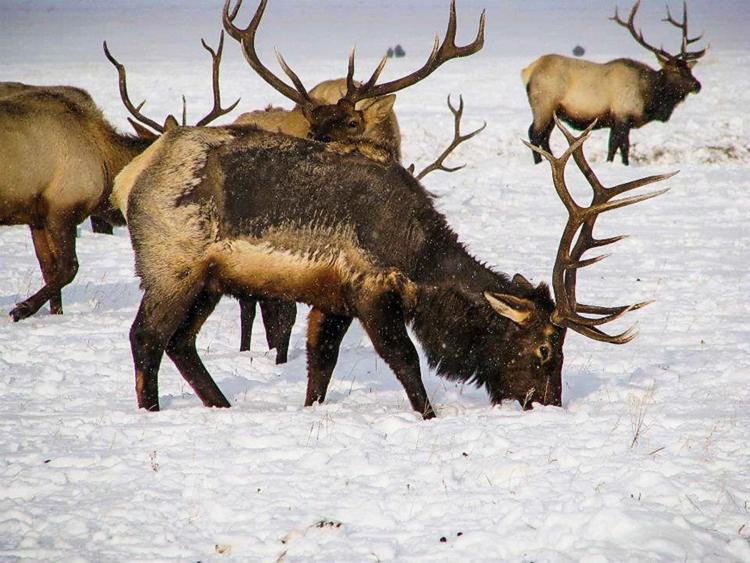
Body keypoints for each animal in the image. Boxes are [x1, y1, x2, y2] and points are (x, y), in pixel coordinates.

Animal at [111, 106, 673, 418]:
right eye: (545, 349)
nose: (550, 405)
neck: (420, 261)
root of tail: (130, 177)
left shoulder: (333, 298)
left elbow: (320, 365)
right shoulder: (371, 290)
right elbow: (405, 361)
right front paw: (430, 416)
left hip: (209, 282)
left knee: (181, 342)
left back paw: (222, 405)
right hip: (172, 267)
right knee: (147, 337)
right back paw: (152, 412)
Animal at [523, 0, 707, 165]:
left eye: (689, 70)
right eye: (675, 71)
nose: (697, 85)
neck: (649, 96)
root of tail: (529, 70)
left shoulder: (614, 121)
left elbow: (612, 147)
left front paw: (610, 162)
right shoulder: (622, 115)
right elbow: (623, 146)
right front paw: (623, 165)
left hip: (553, 112)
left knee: (544, 137)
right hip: (544, 105)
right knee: (534, 133)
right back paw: (538, 163)